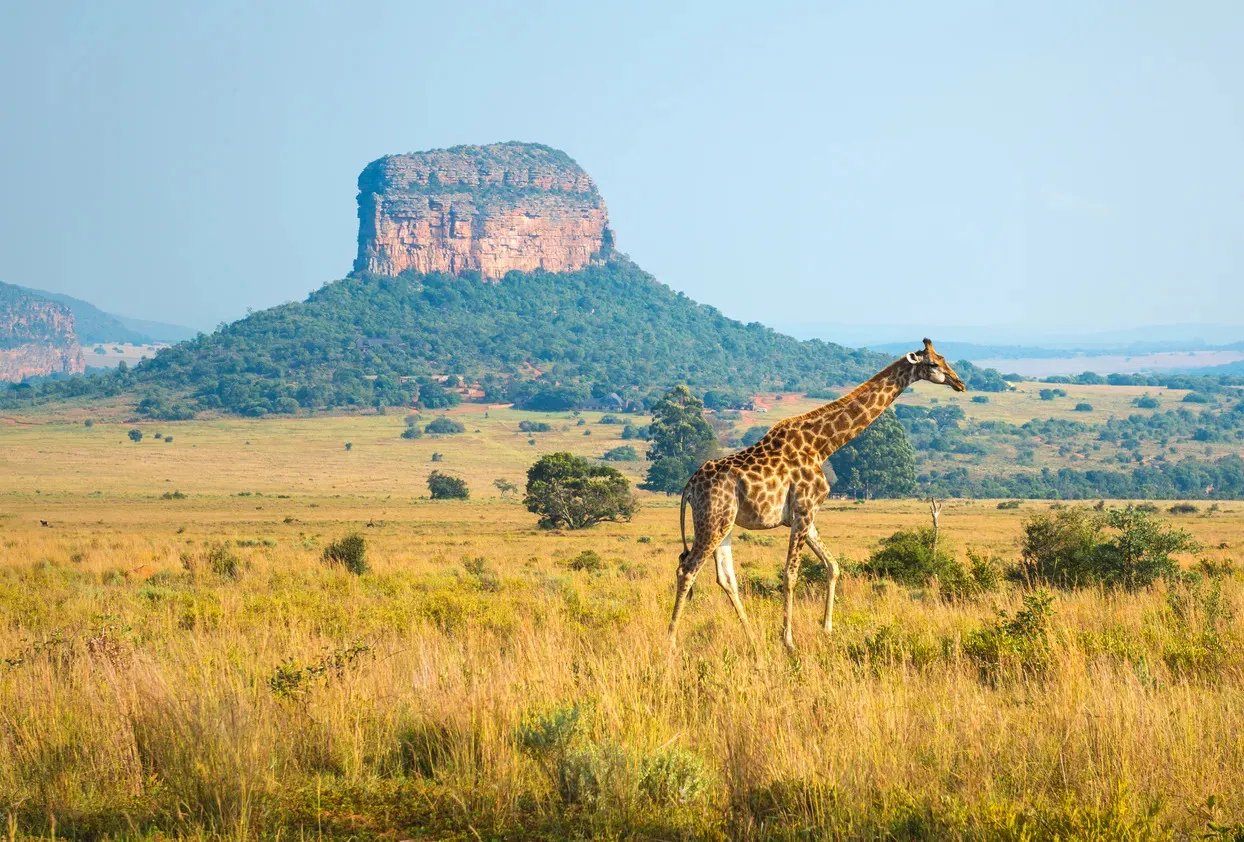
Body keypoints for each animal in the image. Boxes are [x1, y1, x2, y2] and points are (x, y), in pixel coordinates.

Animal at [666, 340, 965, 651]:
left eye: (944, 358)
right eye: (933, 364)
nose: (959, 383)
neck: (822, 445)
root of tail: (689, 486)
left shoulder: (805, 516)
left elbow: (832, 566)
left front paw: (827, 629)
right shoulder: (804, 510)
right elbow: (790, 574)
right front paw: (788, 640)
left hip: (725, 524)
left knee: (725, 578)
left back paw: (752, 638)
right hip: (713, 521)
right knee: (687, 570)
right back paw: (671, 641)